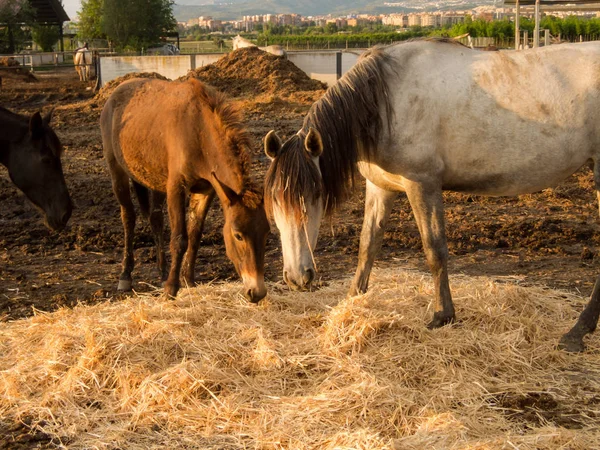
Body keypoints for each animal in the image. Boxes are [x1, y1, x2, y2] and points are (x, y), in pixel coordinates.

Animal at [101, 78, 270, 300]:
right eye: (238, 235)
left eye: (266, 232)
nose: (256, 292)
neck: (199, 132)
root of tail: (117, 91)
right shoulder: (176, 187)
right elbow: (180, 238)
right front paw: (171, 288)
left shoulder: (206, 190)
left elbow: (195, 234)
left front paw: (188, 280)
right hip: (117, 171)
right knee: (128, 217)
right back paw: (125, 275)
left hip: (155, 180)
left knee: (155, 218)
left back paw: (162, 271)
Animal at [264, 39, 600, 356]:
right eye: (275, 204)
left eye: (315, 195)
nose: (297, 278)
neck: (385, 100)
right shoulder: (380, 187)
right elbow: (367, 245)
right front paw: (353, 298)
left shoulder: (422, 184)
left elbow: (434, 250)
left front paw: (442, 316)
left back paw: (576, 333)